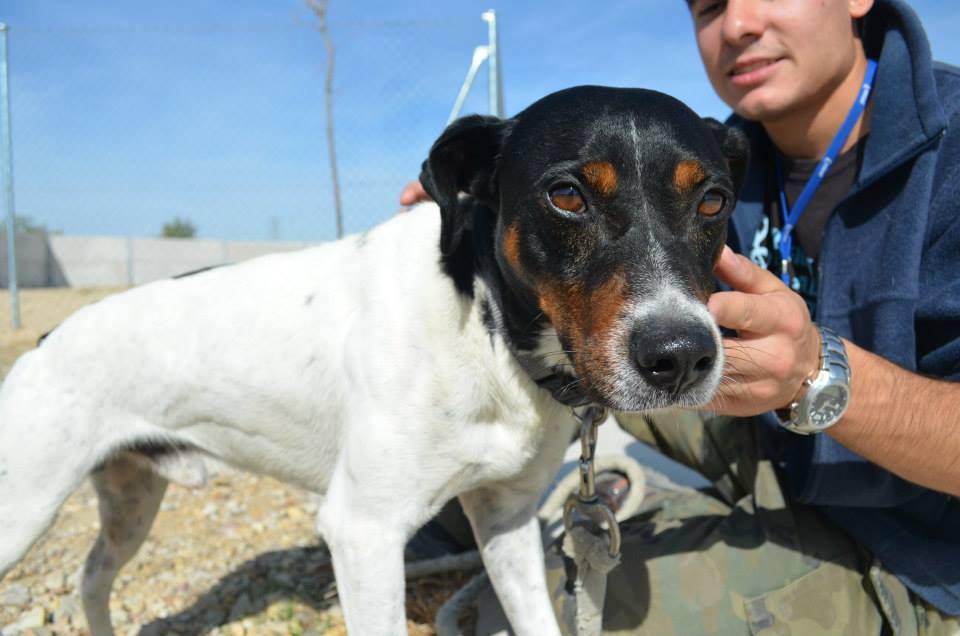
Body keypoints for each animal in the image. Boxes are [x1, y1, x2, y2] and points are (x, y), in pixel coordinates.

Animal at [0, 85, 752, 636]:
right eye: (567, 194)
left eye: (714, 199)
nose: (682, 356)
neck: (485, 328)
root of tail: (44, 341)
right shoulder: (363, 533)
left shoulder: (506, 522)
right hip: (24, 509)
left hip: (130, 500)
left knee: (92, 576)